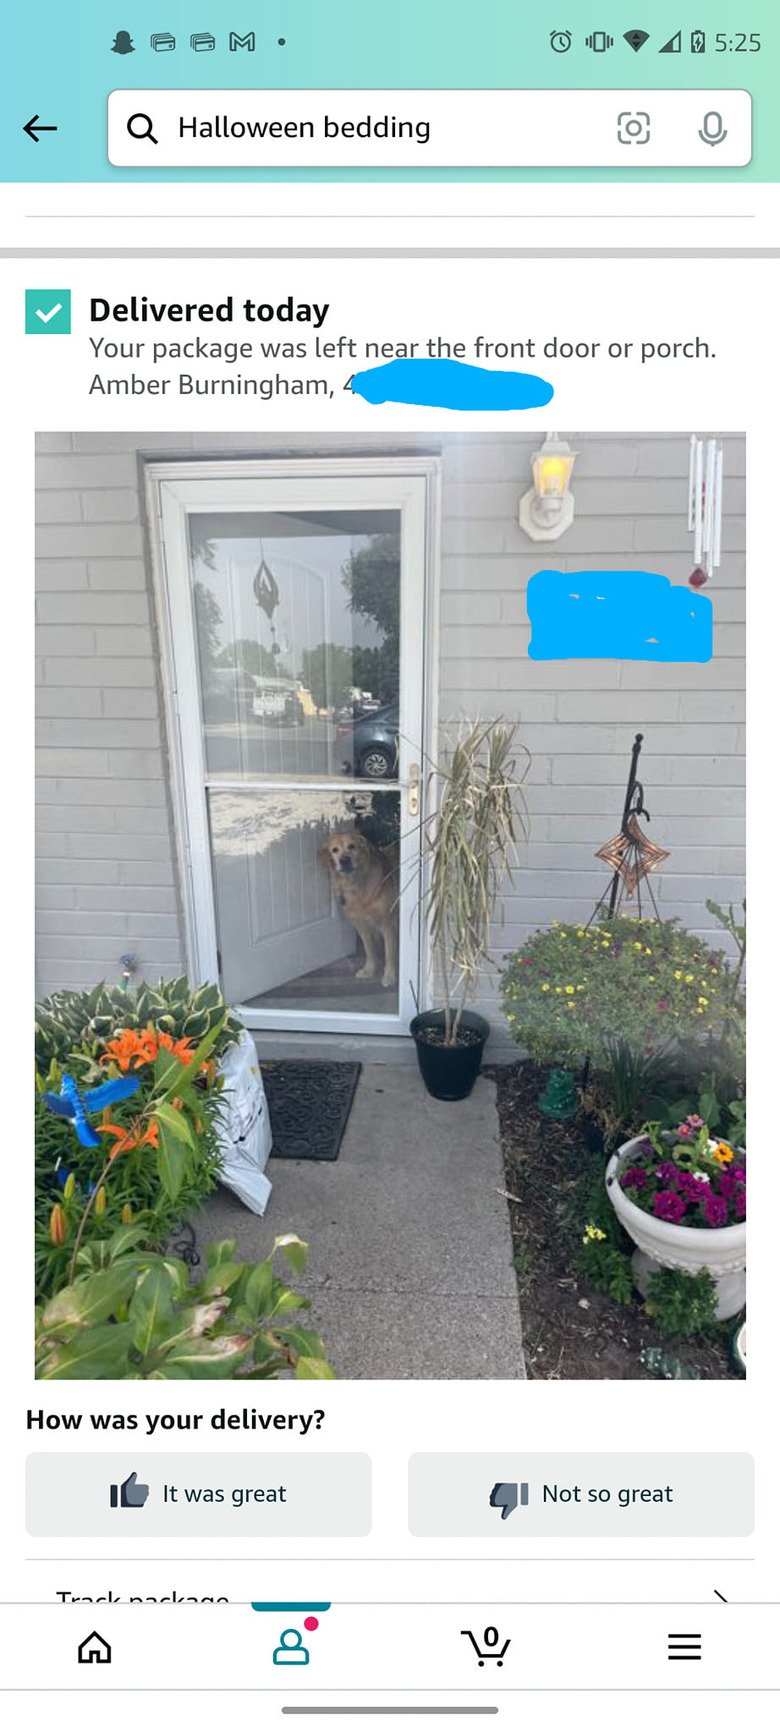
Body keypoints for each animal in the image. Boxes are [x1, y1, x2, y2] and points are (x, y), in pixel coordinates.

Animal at [318, 827, 398, 990]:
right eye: (334, 850)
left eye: (352, 846)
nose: (344, 860)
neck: (357, 885)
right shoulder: (361, 925)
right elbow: (369, 950)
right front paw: (369, 969)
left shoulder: (388, 923)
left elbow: (389, 953)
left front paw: (389, 976)